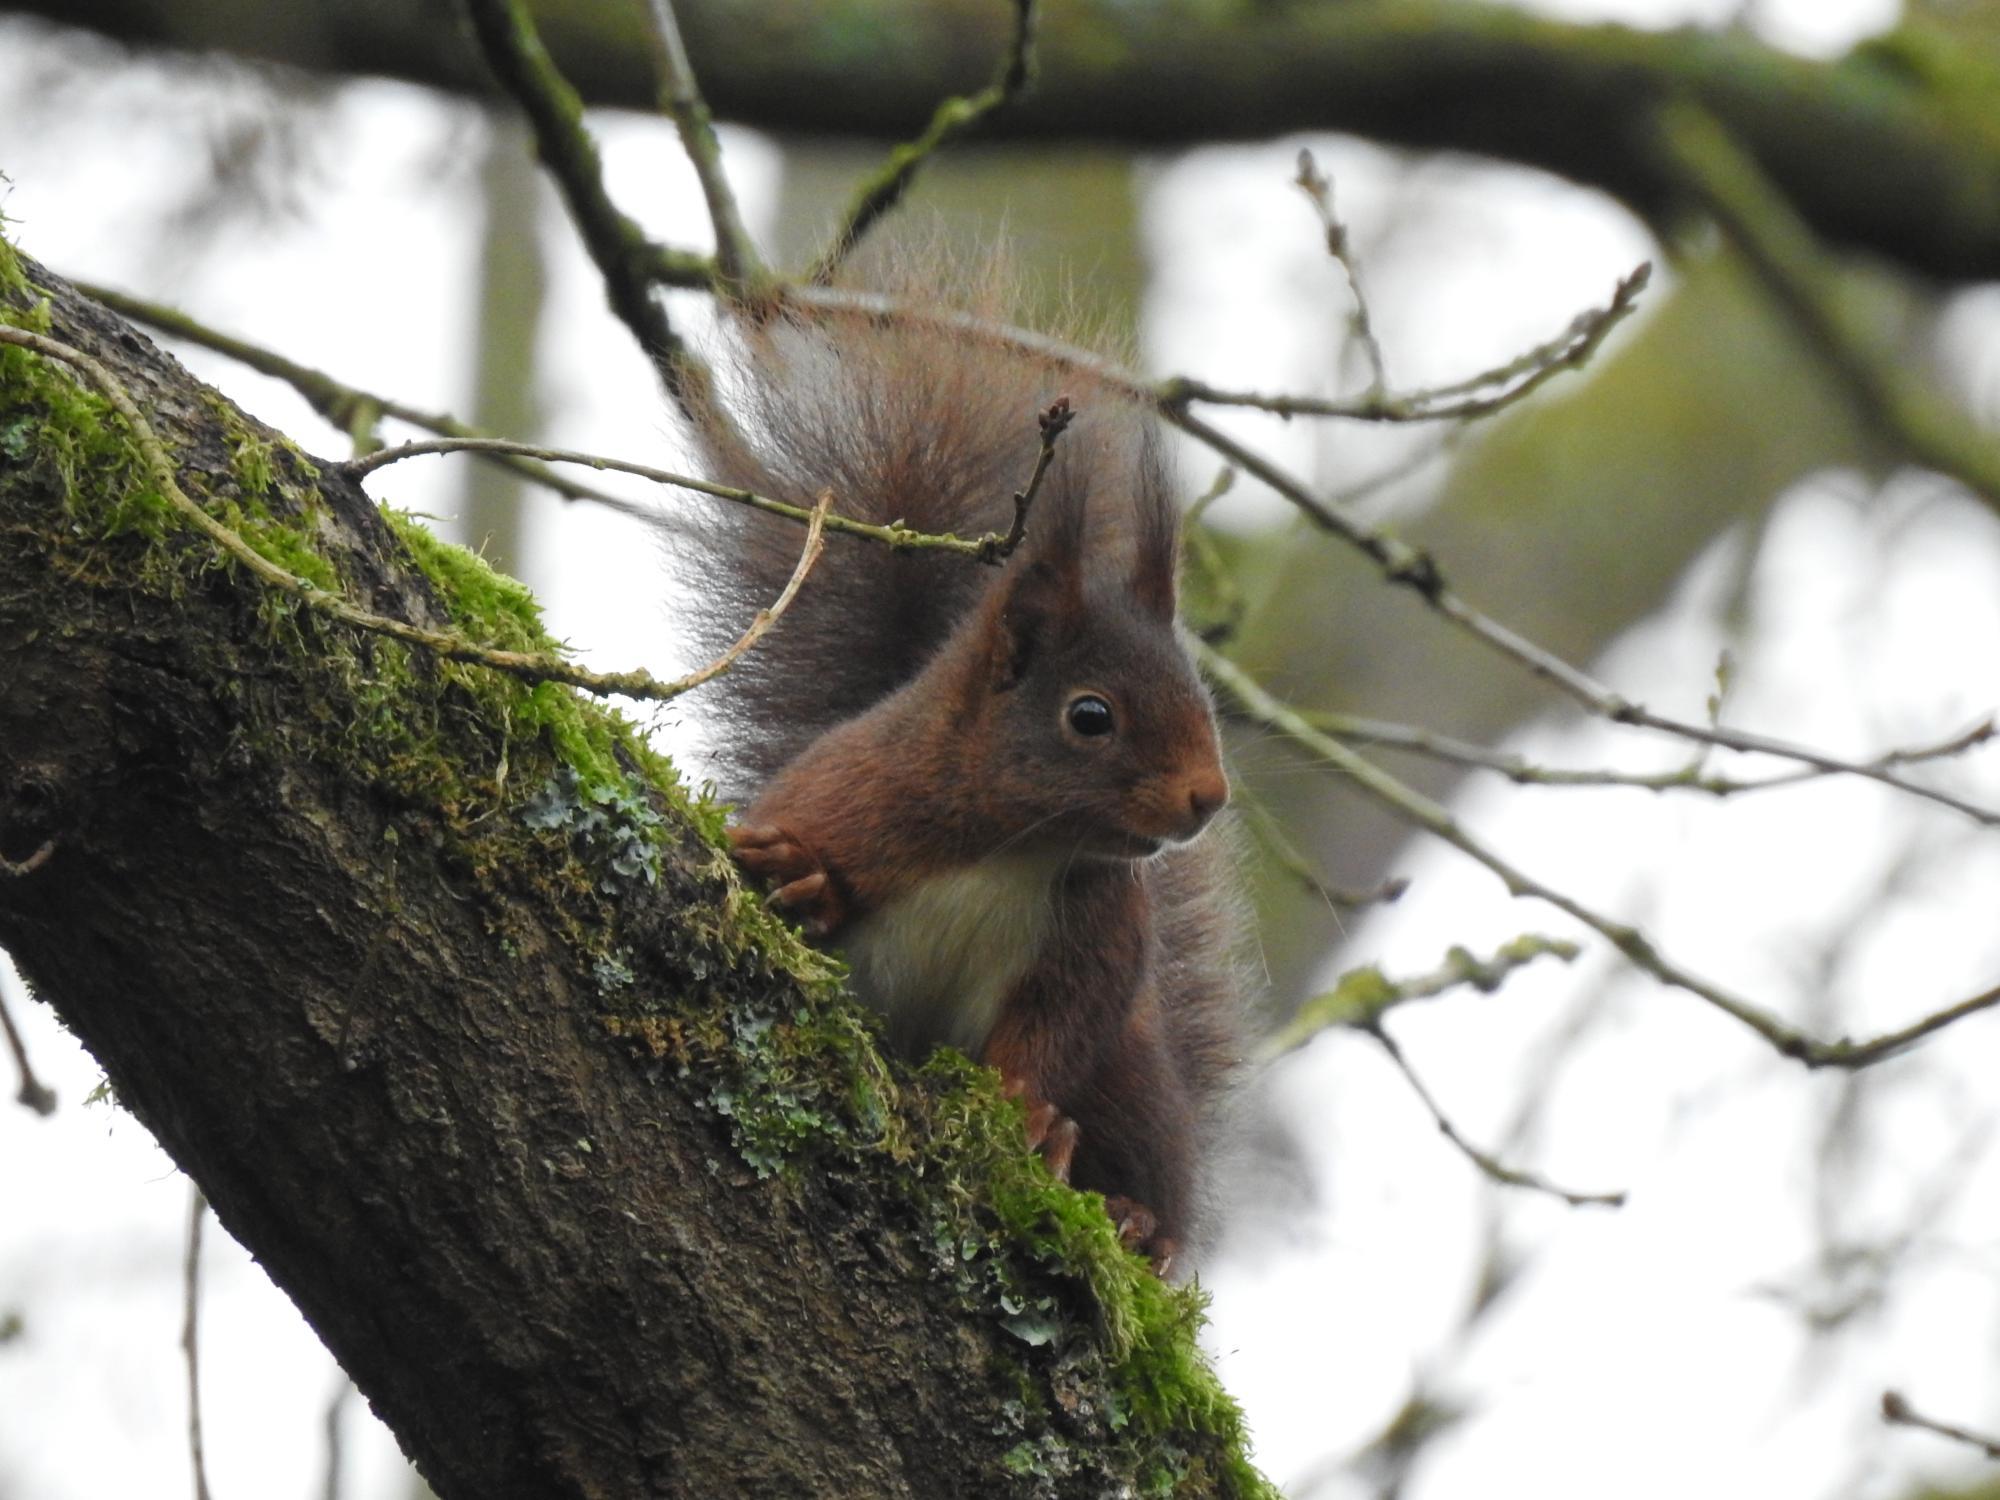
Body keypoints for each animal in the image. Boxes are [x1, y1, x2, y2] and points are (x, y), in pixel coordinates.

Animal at [688, 288, 1248, 1272]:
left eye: (1202, 697)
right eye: (1090, 716)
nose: (1206, 797)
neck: (1014, 845)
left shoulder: (1095, 934)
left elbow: (1055, 1030)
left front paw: (1029, 1117)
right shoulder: (853, 795)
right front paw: (802, 877)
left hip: (1136, 1080)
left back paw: (1137, 1220)